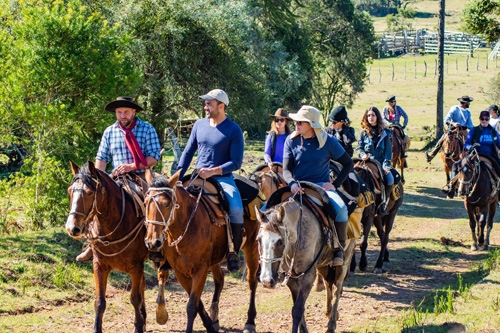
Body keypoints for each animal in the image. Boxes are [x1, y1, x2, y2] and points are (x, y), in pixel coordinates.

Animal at [64, 160, 148, 332]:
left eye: (90, 193)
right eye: (70, 191)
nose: (72, 228)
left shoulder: (136, 267)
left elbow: (135, 298)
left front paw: (137, 327)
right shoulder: (99, 265)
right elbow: (100, 302)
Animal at [143, 170, 260, 332]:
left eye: (167, 203)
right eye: (145, 202)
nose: (153, 242)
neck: (188, 225)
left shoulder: (200, 270)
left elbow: (192, 306)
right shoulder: (180, 272)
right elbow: (197, 303)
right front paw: (209, 325)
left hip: (251, 246)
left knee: (252, 281)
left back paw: (250, 322)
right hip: (215, 259)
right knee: (219, 280)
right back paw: (215, 318)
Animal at [258, 184, 356, 332]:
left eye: (280, 242)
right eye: (258, 240)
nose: (266, 281)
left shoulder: (308, 276)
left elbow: (298, 309)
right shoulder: (292, 278)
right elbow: (298, 308)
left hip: (344, 262)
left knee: (337, 289)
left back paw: (331, 324)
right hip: (323, 265)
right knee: (328, 285)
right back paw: (329, 313)